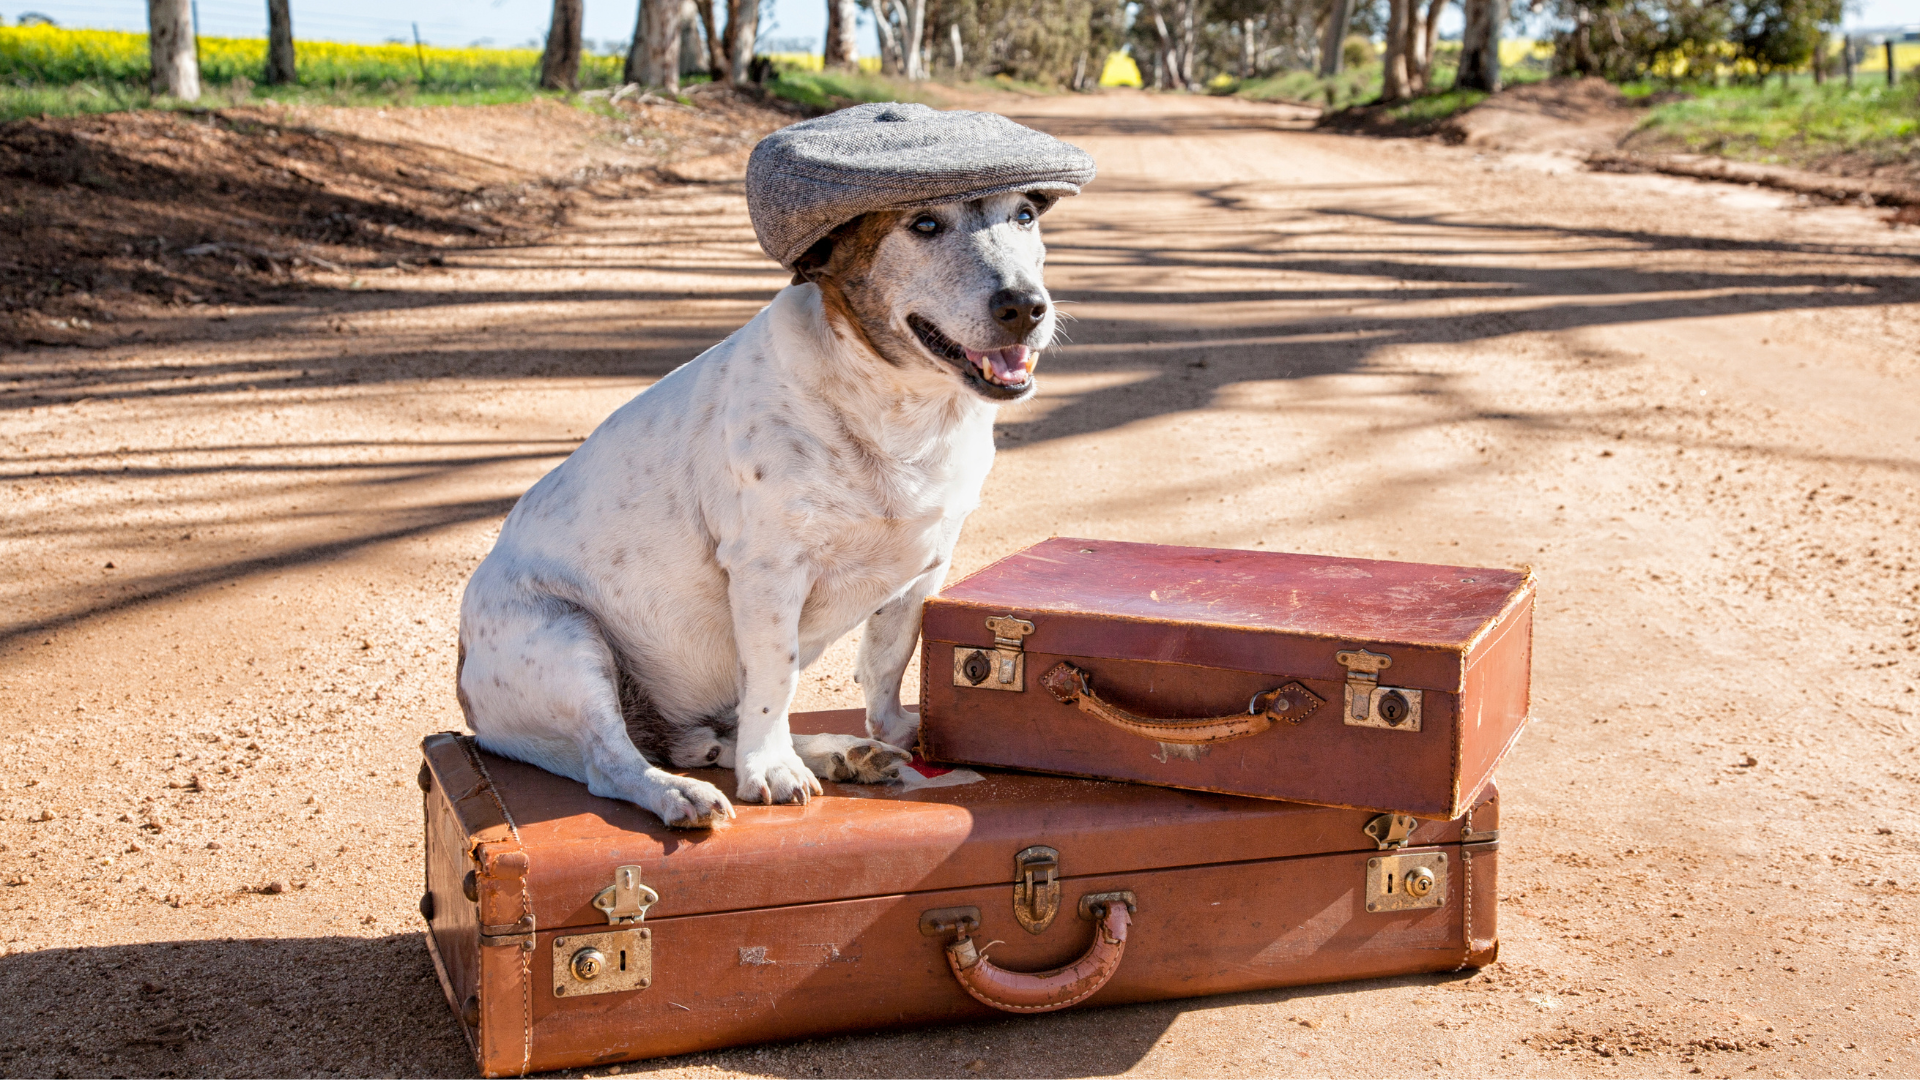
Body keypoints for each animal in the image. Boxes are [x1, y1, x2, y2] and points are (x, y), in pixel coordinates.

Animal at [458, 189, 1075, 822]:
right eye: (924, 223)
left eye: (1024, 215)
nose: (1025, 307)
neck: (902, 411)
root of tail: (478, 720)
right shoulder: (769, 575)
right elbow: (776, 679)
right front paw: (772, 771)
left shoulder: (927, 566)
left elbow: (888, 657)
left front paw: (892, 729)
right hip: (570, 641)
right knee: (612, 762)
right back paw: (683, 789)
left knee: (715, 733)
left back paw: (833, 752)